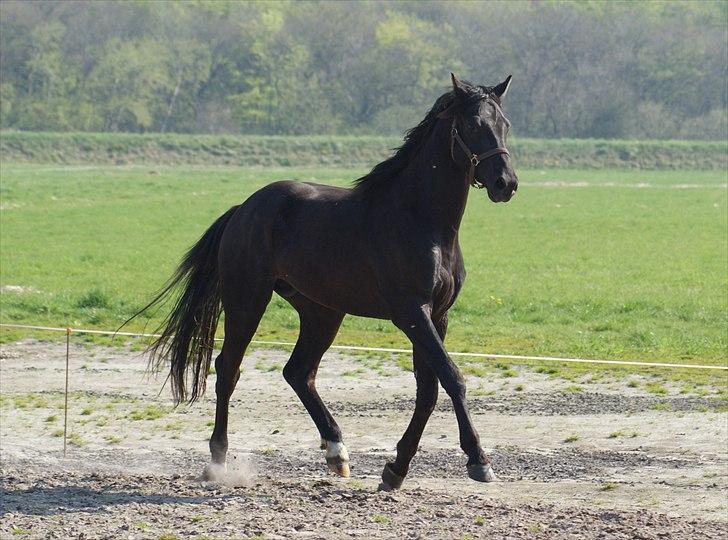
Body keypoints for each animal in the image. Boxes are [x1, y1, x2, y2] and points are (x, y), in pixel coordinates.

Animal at [141, 74, 516, 492]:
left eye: (505, 125)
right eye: (472, 124)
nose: (505, 183)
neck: (421, 219)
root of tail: (244, 208)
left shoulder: (437, 315)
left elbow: (428, 392)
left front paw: (395, 469)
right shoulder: (411, 313)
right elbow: (452, 378)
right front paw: (478, 460)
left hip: (322, 312)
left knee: (298, 372)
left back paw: (337, 452)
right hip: (247, 300)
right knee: (228, 369)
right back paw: (219, 460)